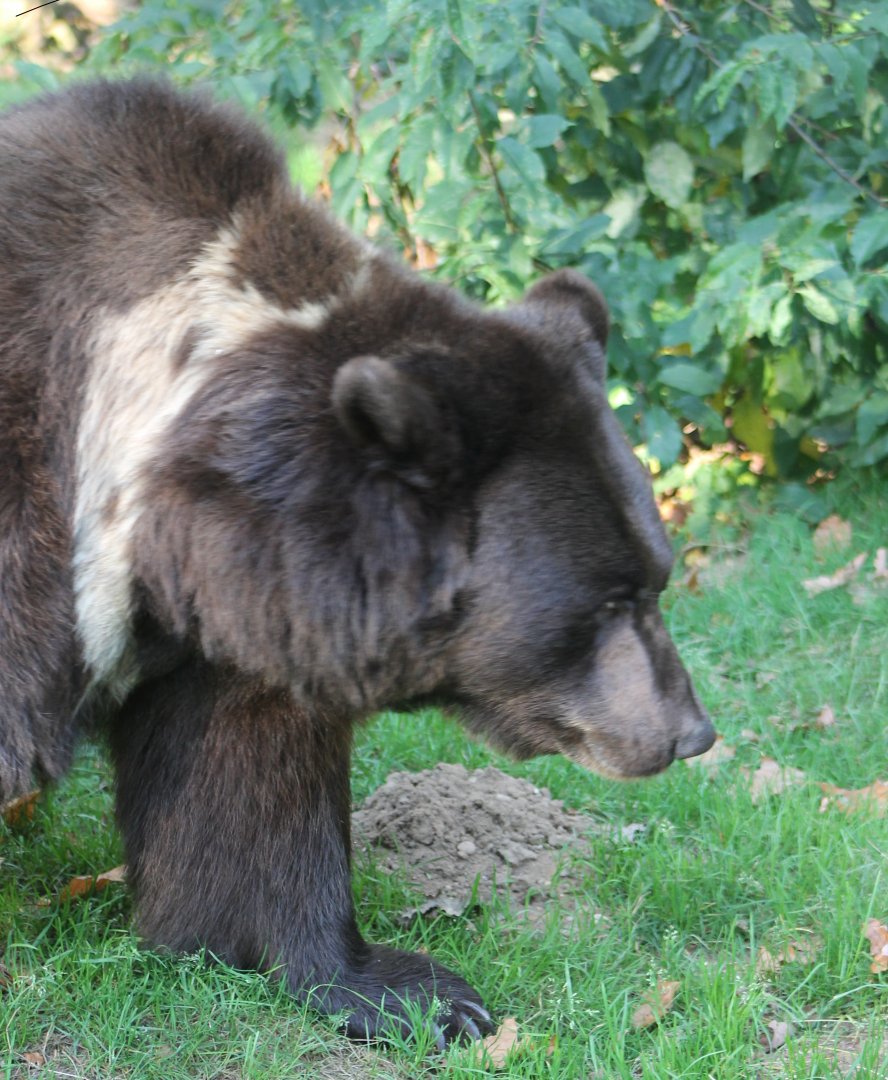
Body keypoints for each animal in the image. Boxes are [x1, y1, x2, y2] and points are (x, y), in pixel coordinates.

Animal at [0, 77, 715, 1045]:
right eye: (605, 602)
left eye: (656, 577)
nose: (689, 732)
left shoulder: (229, 625)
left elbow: (249, 795)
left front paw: (408, 989)